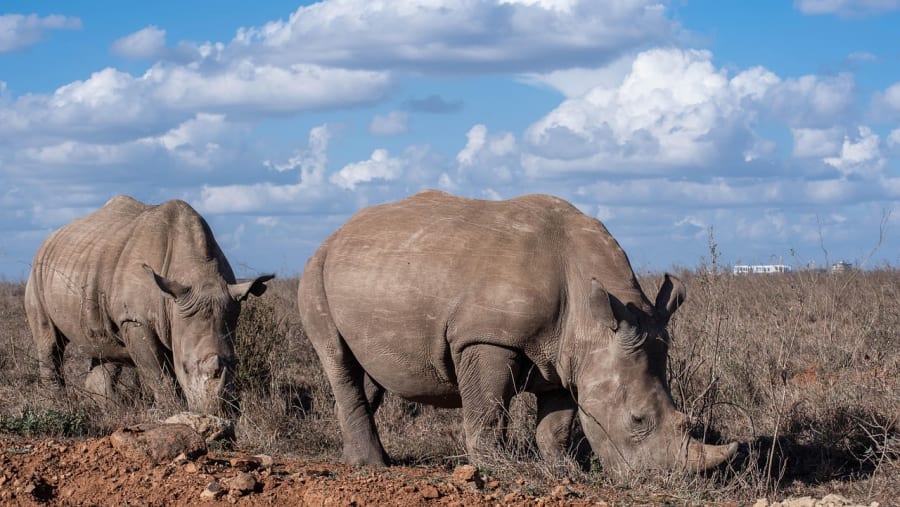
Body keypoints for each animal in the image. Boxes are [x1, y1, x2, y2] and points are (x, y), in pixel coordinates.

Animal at [25, 196, 273, 415]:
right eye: (184, 366)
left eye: (236, 362)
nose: (218, 412)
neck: (198, 275)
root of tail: (50, 238)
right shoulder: (135, 318)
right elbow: (159, 372)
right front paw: (172, 410)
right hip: (37, 272)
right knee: (50, 342)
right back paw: (58, 406)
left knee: (105, 347)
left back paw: (110, 410)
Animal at [298, 190, 736, 474]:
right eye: (637, 420)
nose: (662, 480)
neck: (592, 317)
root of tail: (335, 234)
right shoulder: (486, 336)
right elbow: (488, 409)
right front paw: (498, 470)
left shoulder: (566, 354)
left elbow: (556, 424)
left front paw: (563, 471)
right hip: (314, 272)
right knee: (338, 359)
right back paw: (371, 466)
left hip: (369, 272)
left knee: (367, 373)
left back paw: (359, 458)